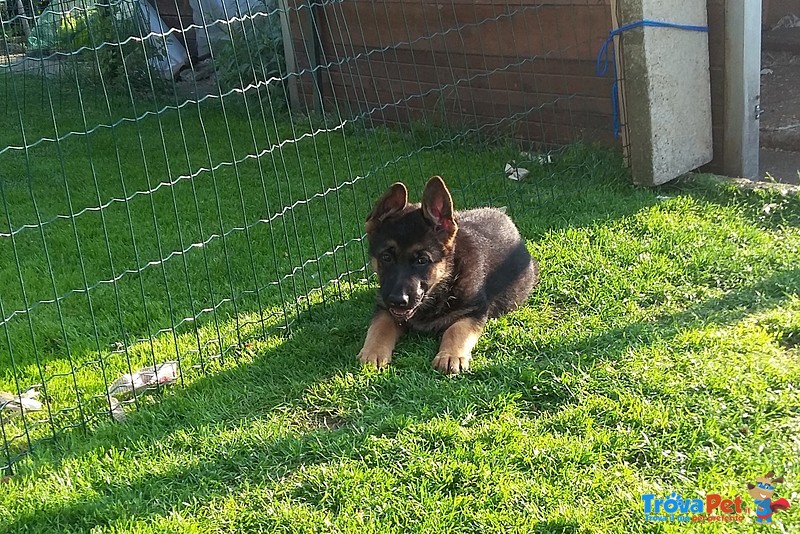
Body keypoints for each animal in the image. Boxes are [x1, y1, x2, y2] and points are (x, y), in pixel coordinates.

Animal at [360, 178, 536, 374]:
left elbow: (456, 329)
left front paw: (451, 356)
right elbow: (380, 327)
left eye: (422, 260)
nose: (398, 301)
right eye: (386, 258)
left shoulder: (474, 310)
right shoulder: (384, 307)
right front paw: (373, 352)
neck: (445, 284)